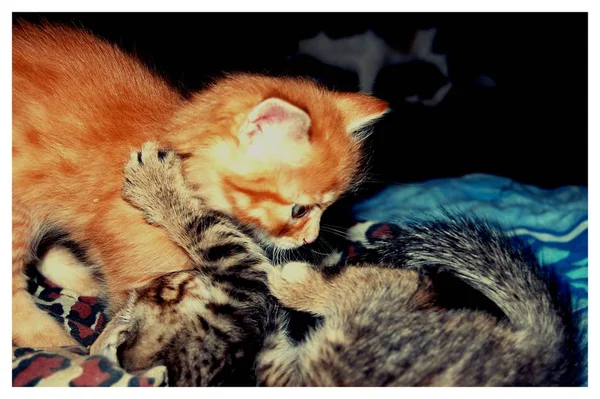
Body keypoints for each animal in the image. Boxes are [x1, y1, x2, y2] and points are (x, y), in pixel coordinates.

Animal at [91, 141, 580, 388]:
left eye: (165, 285)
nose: (157, 281)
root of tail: (541, 362)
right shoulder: (245, 292)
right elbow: (213, 231)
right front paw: (160, 189)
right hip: (352, 339)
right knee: (399, 285)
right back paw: (304, 279)